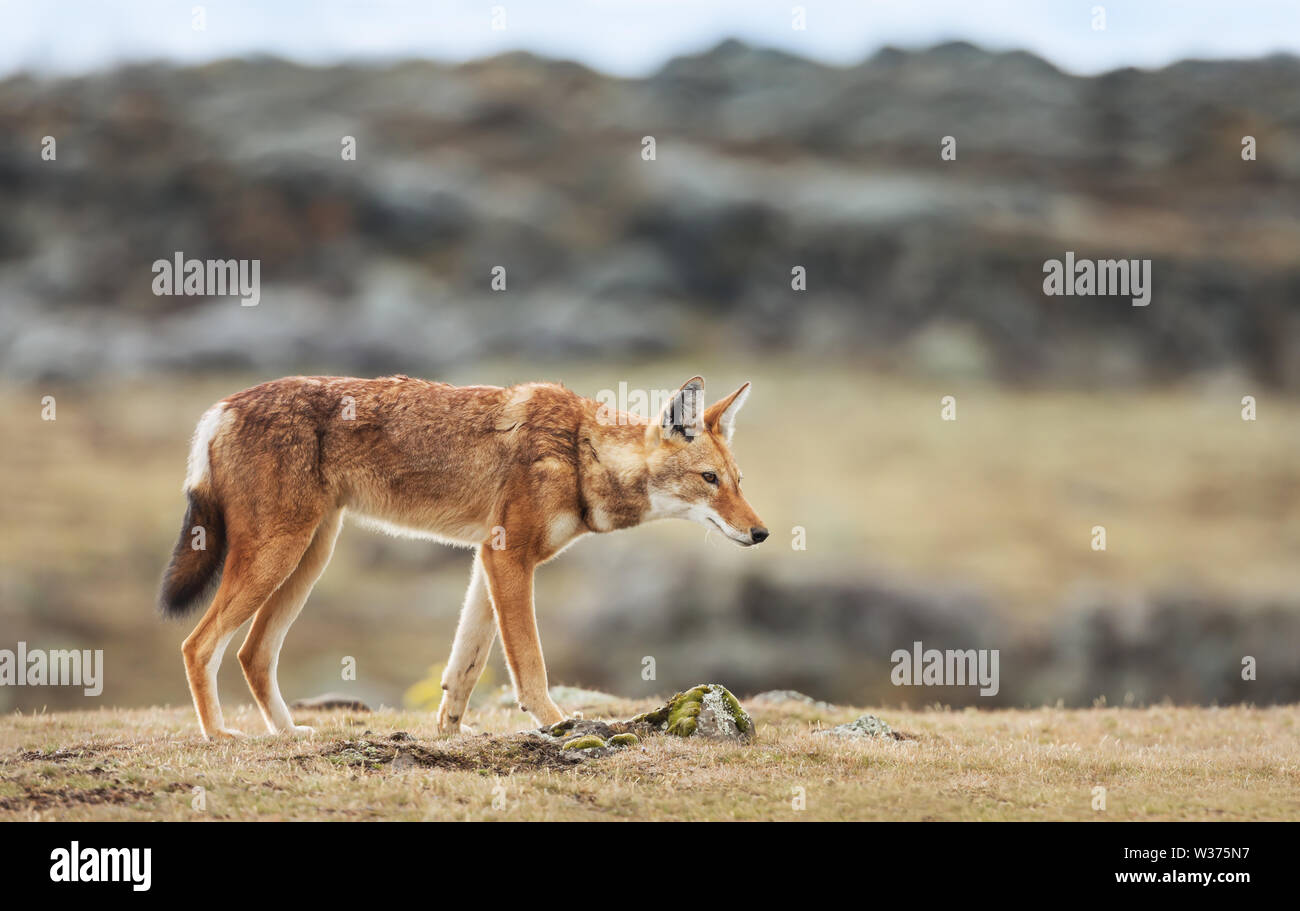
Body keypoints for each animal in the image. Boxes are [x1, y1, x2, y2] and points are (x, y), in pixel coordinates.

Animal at [157, 376, 764, 738]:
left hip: (308, 558)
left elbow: (464, 670)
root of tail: (219, 408)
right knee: (196, 646)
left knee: (252, 654)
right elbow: (529, 666)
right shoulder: (509, 559)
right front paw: (558, 724)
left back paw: (287, 735)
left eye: (738, 481)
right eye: (709, 480)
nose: (761, 533)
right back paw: (219, 735)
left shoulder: (485, 560)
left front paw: (448, 736)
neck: (579, 451)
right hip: (278, 557)